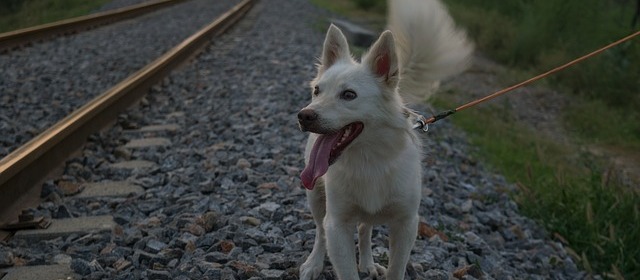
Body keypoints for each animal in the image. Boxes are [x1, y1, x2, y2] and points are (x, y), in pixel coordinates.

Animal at [298, 0, 472, 278]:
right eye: (317, 91)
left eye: (349, 95)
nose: (304, 116)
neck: (368, 159)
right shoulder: (337, 224)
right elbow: (337, 251)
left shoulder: (406, 224)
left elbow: (396, 268)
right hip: (315, 195)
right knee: (320, 231)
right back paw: (314, 263)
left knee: (364, 228)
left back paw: (368, 263)